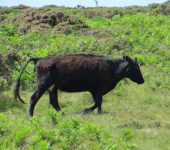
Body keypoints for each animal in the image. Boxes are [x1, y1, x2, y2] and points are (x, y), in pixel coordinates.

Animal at [14, 54, 144, 117]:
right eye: (137, 66)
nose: (142, 80)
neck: (111, 66)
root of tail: (40, 59)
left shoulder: (93, 90)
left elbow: (97, 102)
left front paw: (91, 111)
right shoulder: (99, 88)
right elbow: (98, 102)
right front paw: (91, 111)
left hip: (52, 88)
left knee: (54, 101)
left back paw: (62, 114)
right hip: (43, 86)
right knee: (34, 98)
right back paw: (30, 115)